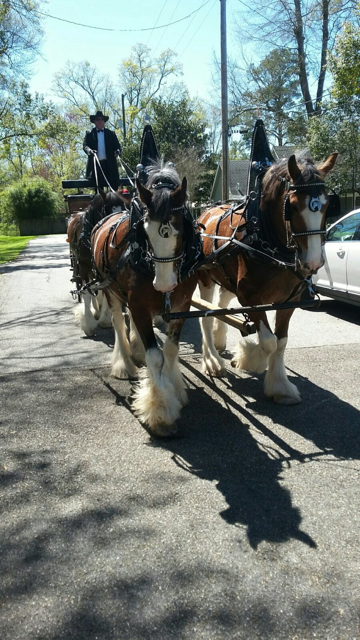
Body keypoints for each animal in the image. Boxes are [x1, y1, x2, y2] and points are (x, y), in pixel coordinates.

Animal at [92, 162, 200, 438]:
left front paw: (175, 389)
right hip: (111, 290)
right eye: (145, 232)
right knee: (119, 322)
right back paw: (124, 364)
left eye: (179, 230)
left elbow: (170, 349)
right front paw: (160, 411)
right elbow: (156, 357)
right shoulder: (139, 305)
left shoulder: (181, 306)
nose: (163, 284)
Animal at [197, 154, 338, 404]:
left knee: (221, 304)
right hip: (205, 278)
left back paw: (219, 339)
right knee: (205, 314)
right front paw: (249, 358)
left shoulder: (289, 302)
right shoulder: (249, 299)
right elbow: (268, 341)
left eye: (327, 205)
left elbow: (280, 342)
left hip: (226, 280)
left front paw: (280, 386)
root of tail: (205, 212)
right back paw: (212, 360)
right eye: (292, 206)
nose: (312, 262)